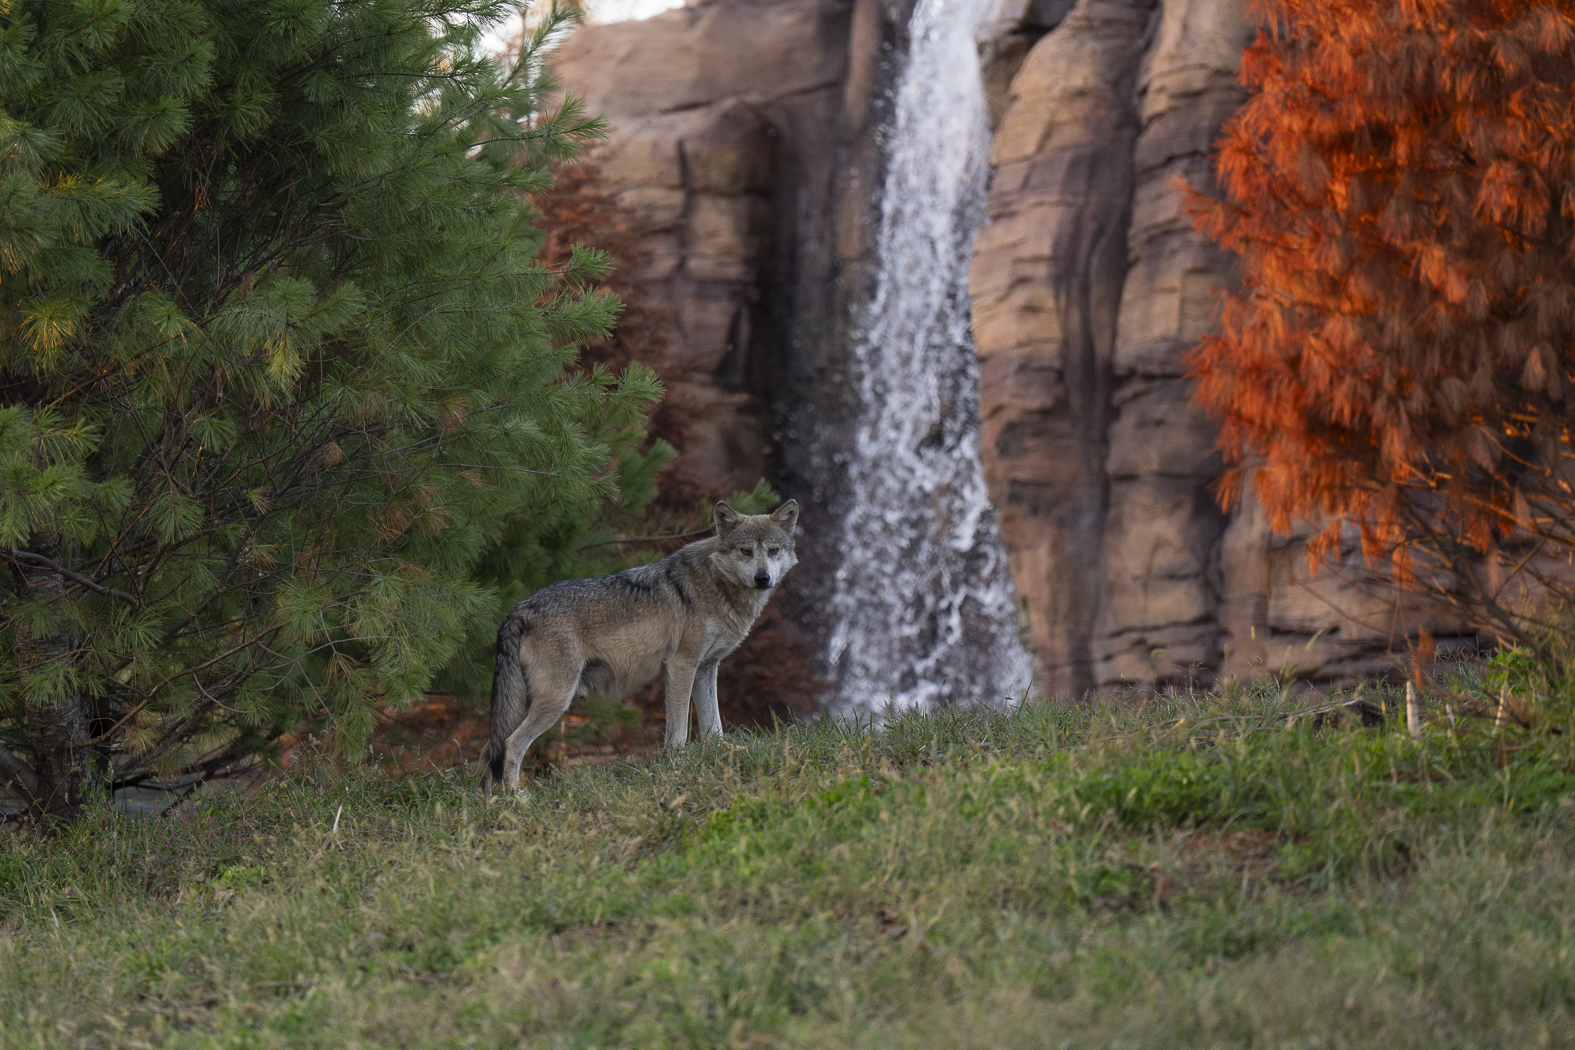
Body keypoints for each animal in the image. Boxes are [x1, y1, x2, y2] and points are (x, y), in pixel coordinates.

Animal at [479, 499, 800, 793]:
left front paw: (722, 759)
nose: (762, 578)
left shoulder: (706, 668)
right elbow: (679, 731)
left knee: (489, 749)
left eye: (773, 550)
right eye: (745, 551)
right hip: (556, 699)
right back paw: (517, 797)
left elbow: (714, 727)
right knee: (512, 743)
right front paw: (679, 767)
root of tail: (519, 609)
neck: (716, 583)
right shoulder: (681, 665)